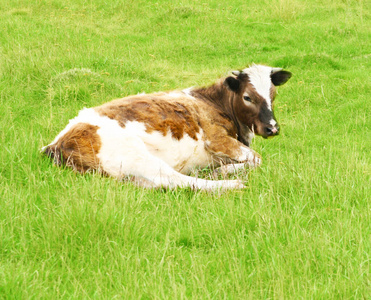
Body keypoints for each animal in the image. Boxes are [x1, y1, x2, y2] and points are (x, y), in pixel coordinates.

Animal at [43, 64, 292, 190]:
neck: (212, 101)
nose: (272, 128)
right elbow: (257, 159)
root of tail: (57, 143)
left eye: (273, 94)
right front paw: (221, 171)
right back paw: (230, 183)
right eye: (248, 97)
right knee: (174, 180)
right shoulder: (216, 140)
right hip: (136, 154)